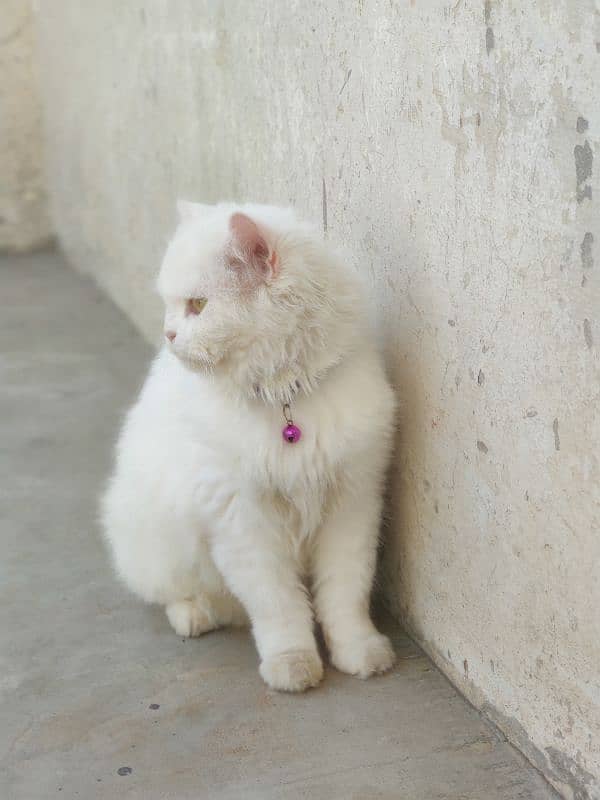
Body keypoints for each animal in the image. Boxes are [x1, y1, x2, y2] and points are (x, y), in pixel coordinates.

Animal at [101, 202, 396, 692]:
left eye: (197, 305)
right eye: (171, 306)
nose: (168, 334)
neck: (285, 396)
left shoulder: (352, 505)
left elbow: (345, 595)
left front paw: (360, 652)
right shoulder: (243, 521)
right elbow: (279, 607)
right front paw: (293, 666)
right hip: (157, 537)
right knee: (176, 593)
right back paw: (195, 616)